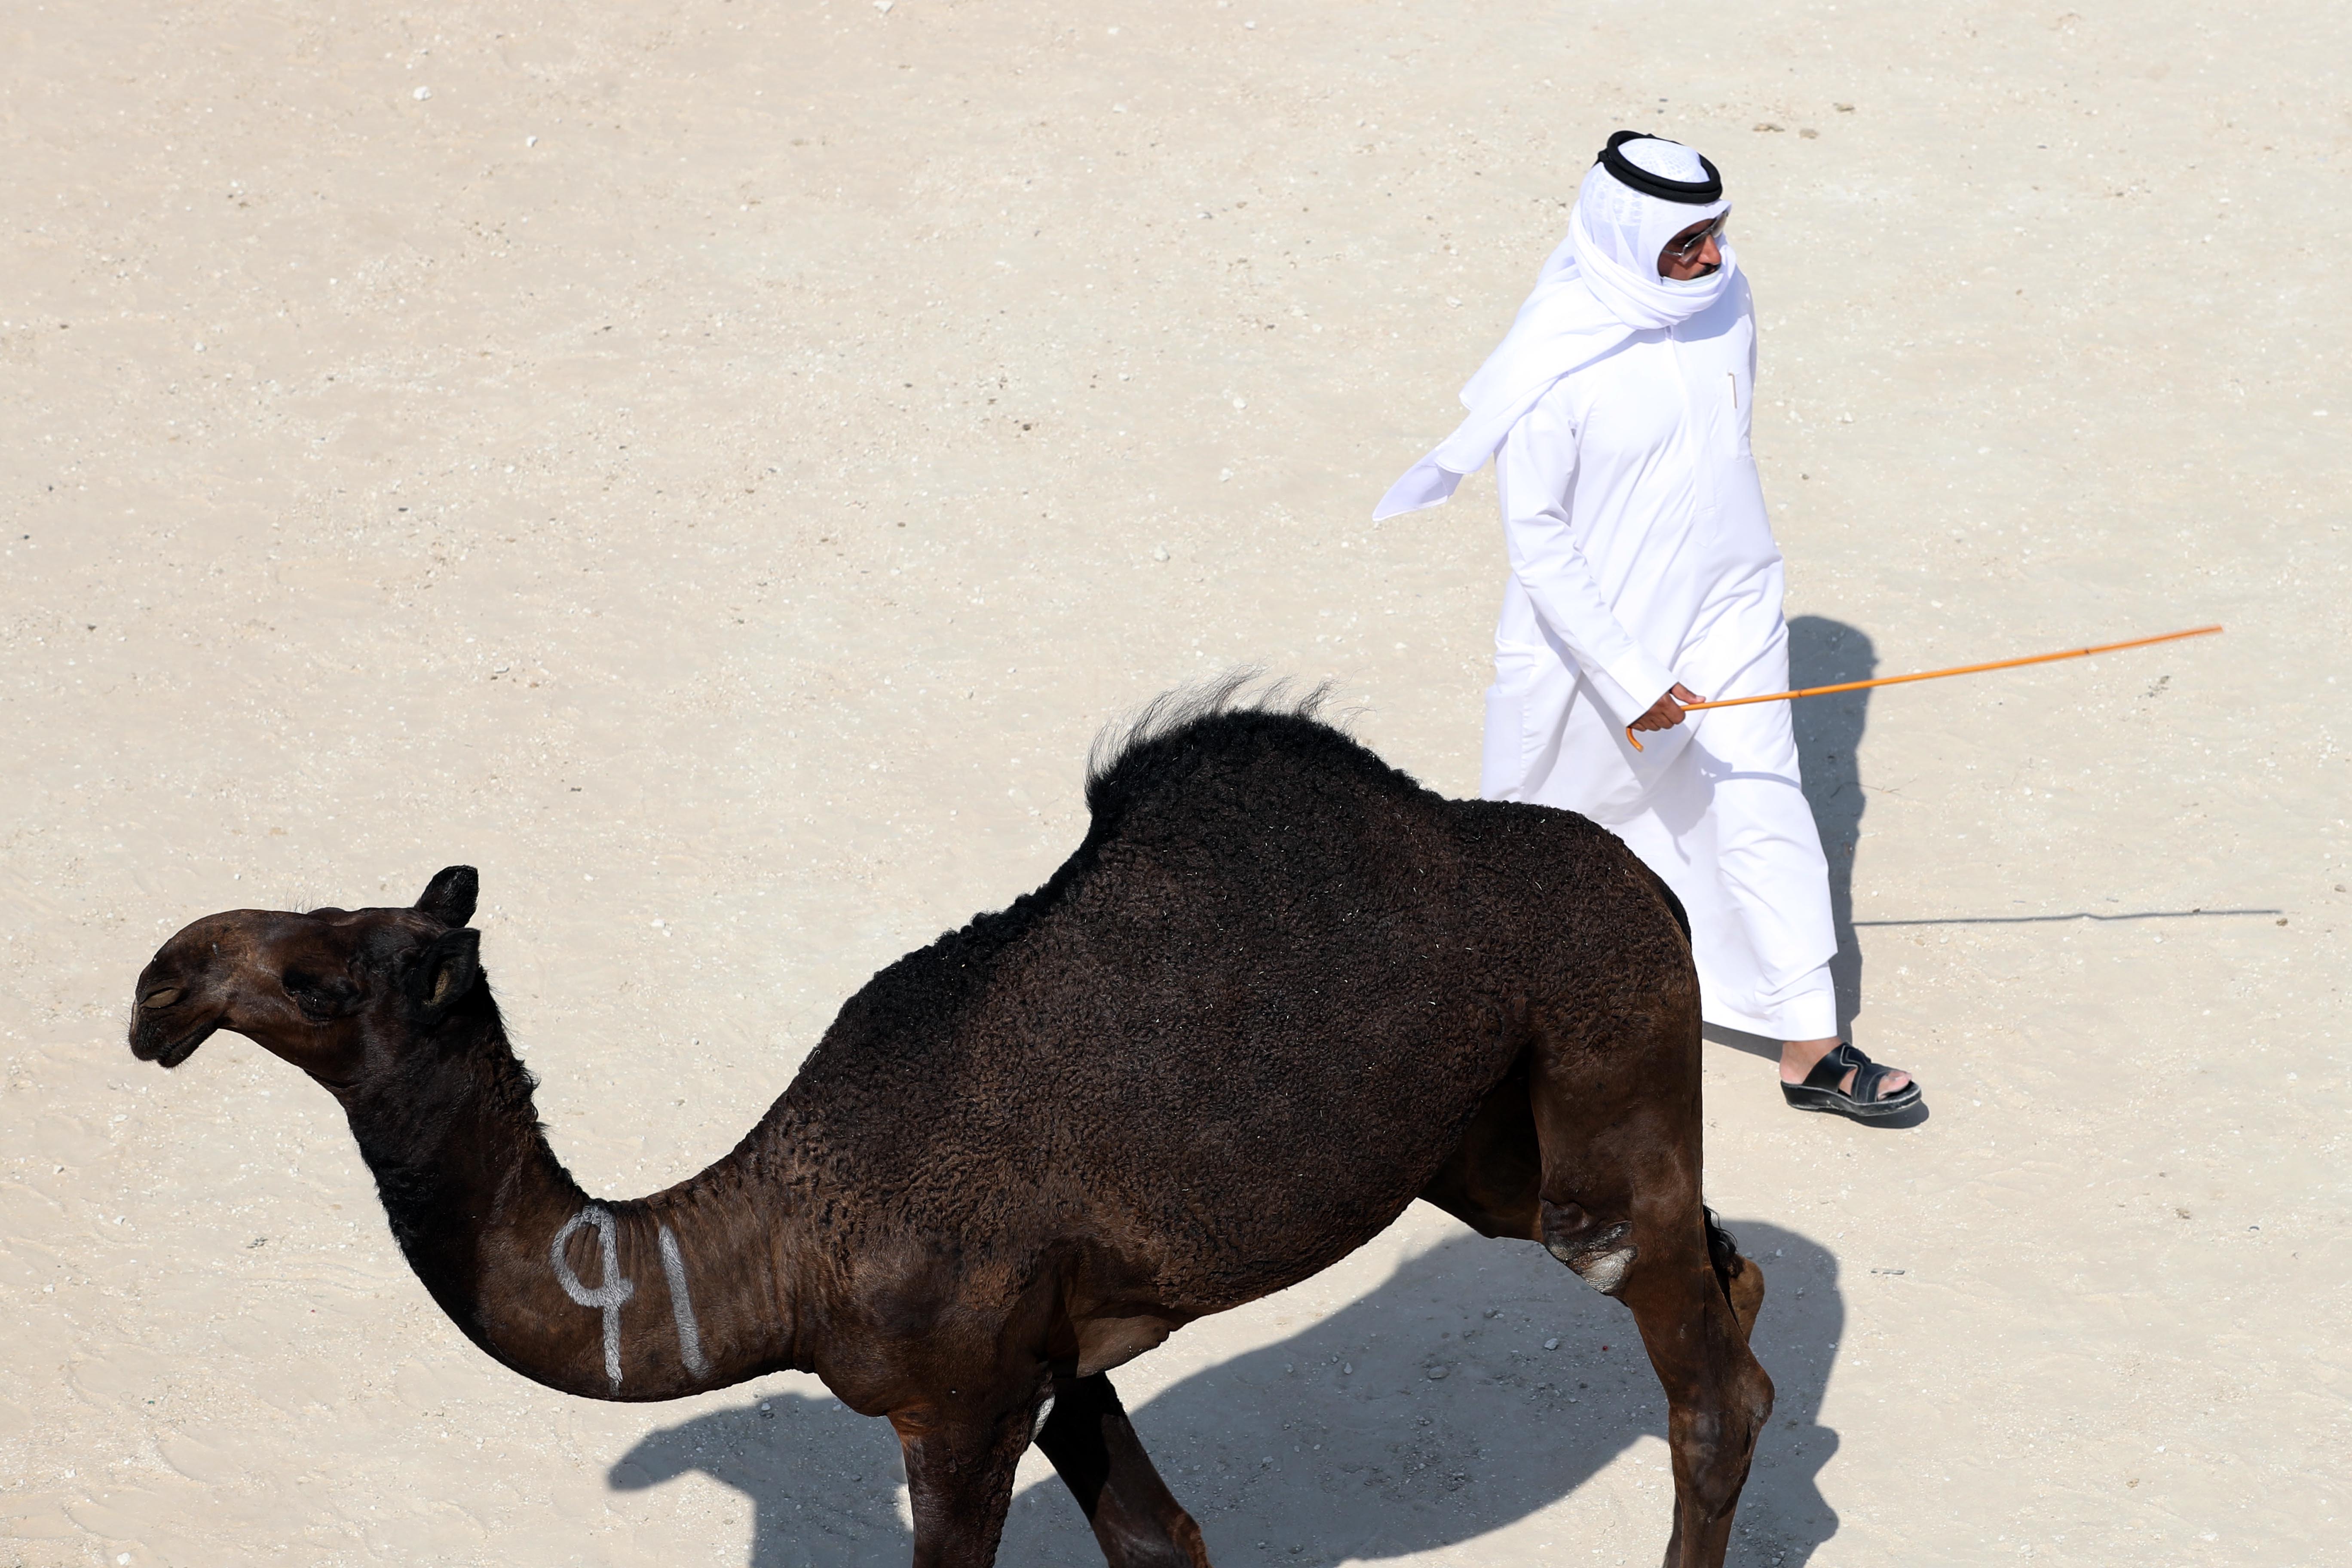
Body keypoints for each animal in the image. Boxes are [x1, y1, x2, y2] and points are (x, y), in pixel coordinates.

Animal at [129, 691, 1768, 1568]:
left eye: (323, 975)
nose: (158, 988)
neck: (774, 1245)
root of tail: (1657, 886)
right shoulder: (1050, 1360)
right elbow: (1161, 1537)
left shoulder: (962, 1395)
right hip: (1485, 1149)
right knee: (1732, 1289)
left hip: (1609, 1065)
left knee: (1699, 1375)